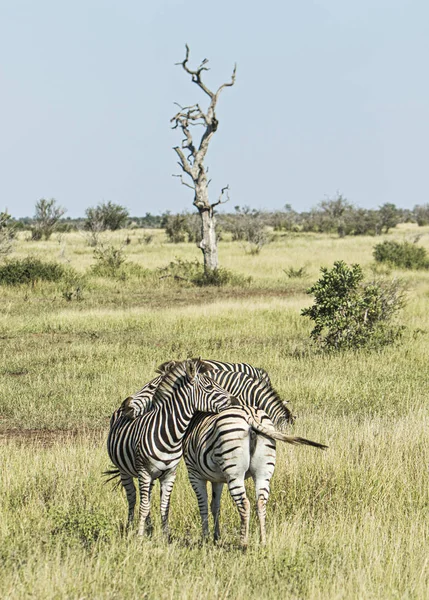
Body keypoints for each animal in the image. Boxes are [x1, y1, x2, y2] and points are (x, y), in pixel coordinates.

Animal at [105, 358, 232, 536]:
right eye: (209, 387)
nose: (235, 401)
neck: (171, 434)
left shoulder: (169, 474)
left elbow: (164, 506)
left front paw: (165, 536)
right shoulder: (144, 472)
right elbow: (143, 507)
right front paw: (139, 536)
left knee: (146, 498)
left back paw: (149, 528)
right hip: (125, 471)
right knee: (133, 498)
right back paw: (130, 527)